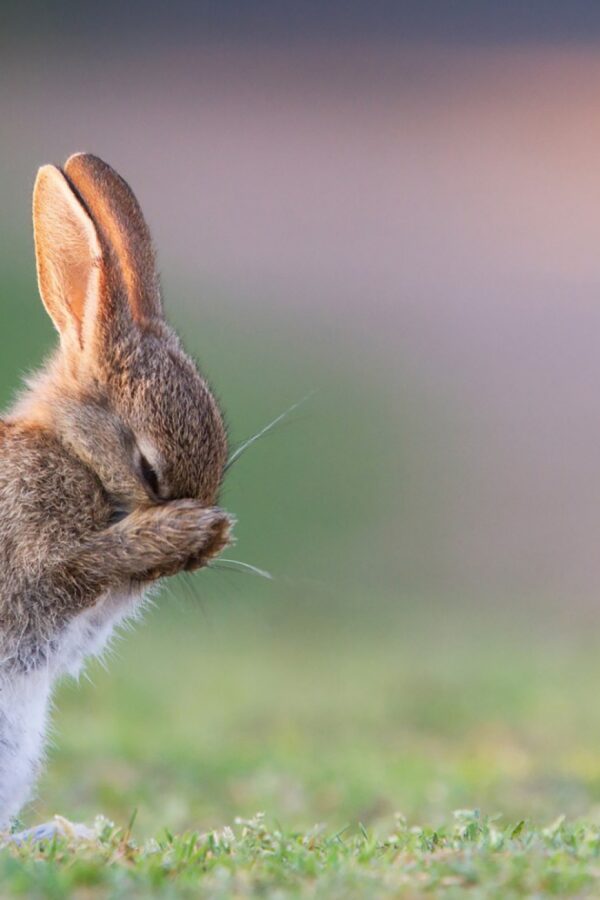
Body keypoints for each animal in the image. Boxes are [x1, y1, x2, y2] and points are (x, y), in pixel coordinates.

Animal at [0, 153, 233, 834]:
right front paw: (179, 533)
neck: (73, 451)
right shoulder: (32, 565)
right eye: (150, 471)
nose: (200, 550)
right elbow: (78, 571)